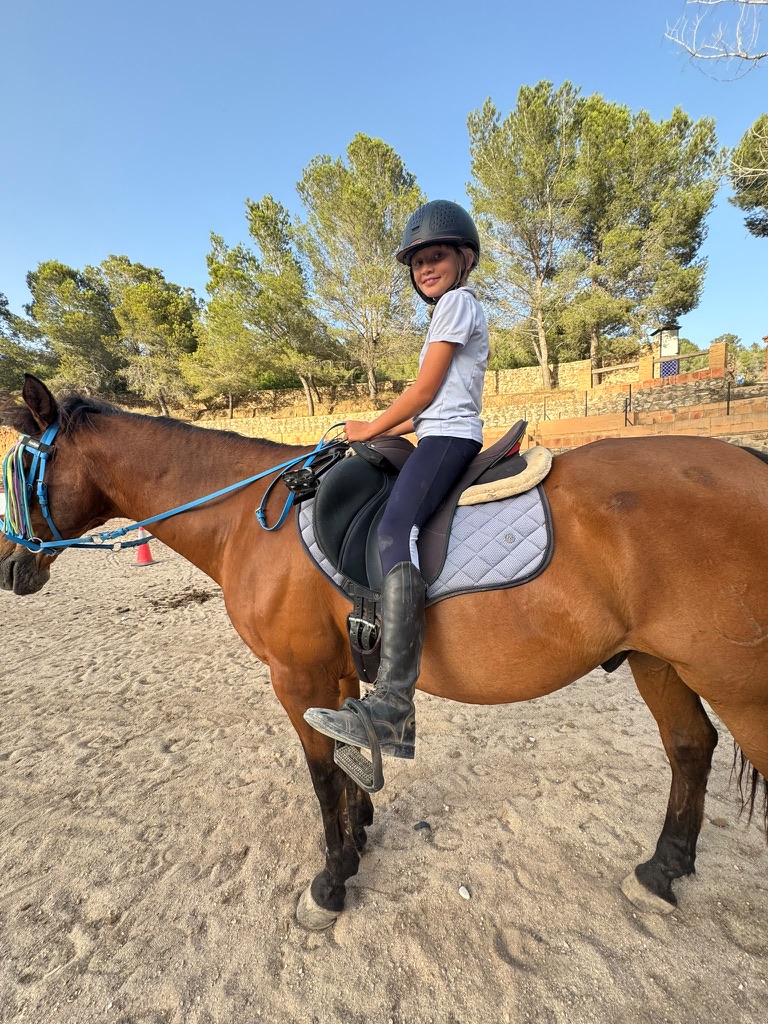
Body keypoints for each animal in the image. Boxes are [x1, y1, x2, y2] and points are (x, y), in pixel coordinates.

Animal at [2, 374, 767, 931]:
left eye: (17, 469)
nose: (12, 568)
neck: (249, 517)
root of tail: (746, 459)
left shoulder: (297, 678)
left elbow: (320, 776)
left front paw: (332, 880)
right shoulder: (336, 673)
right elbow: (344, 764)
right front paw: (362, 831)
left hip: (737, 686)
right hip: (658, 662)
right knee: (690, 748)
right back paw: (661, 873)